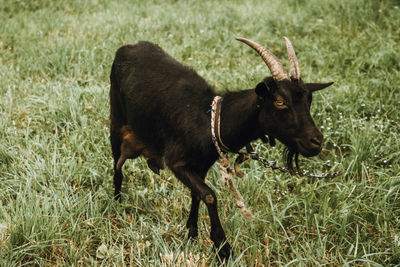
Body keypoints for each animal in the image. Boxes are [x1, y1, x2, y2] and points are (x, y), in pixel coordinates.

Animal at [109, 36, 334, 260]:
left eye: (309, 100)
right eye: (280, 101)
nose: (316, 141)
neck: (210, 120)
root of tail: (129, 46)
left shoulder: (201, 165)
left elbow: (197, 194)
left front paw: (192, 233)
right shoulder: (177, 162)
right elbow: (210, 195)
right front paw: (222, 246)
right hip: (116, 120)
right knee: (117, 165)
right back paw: (117, 202)